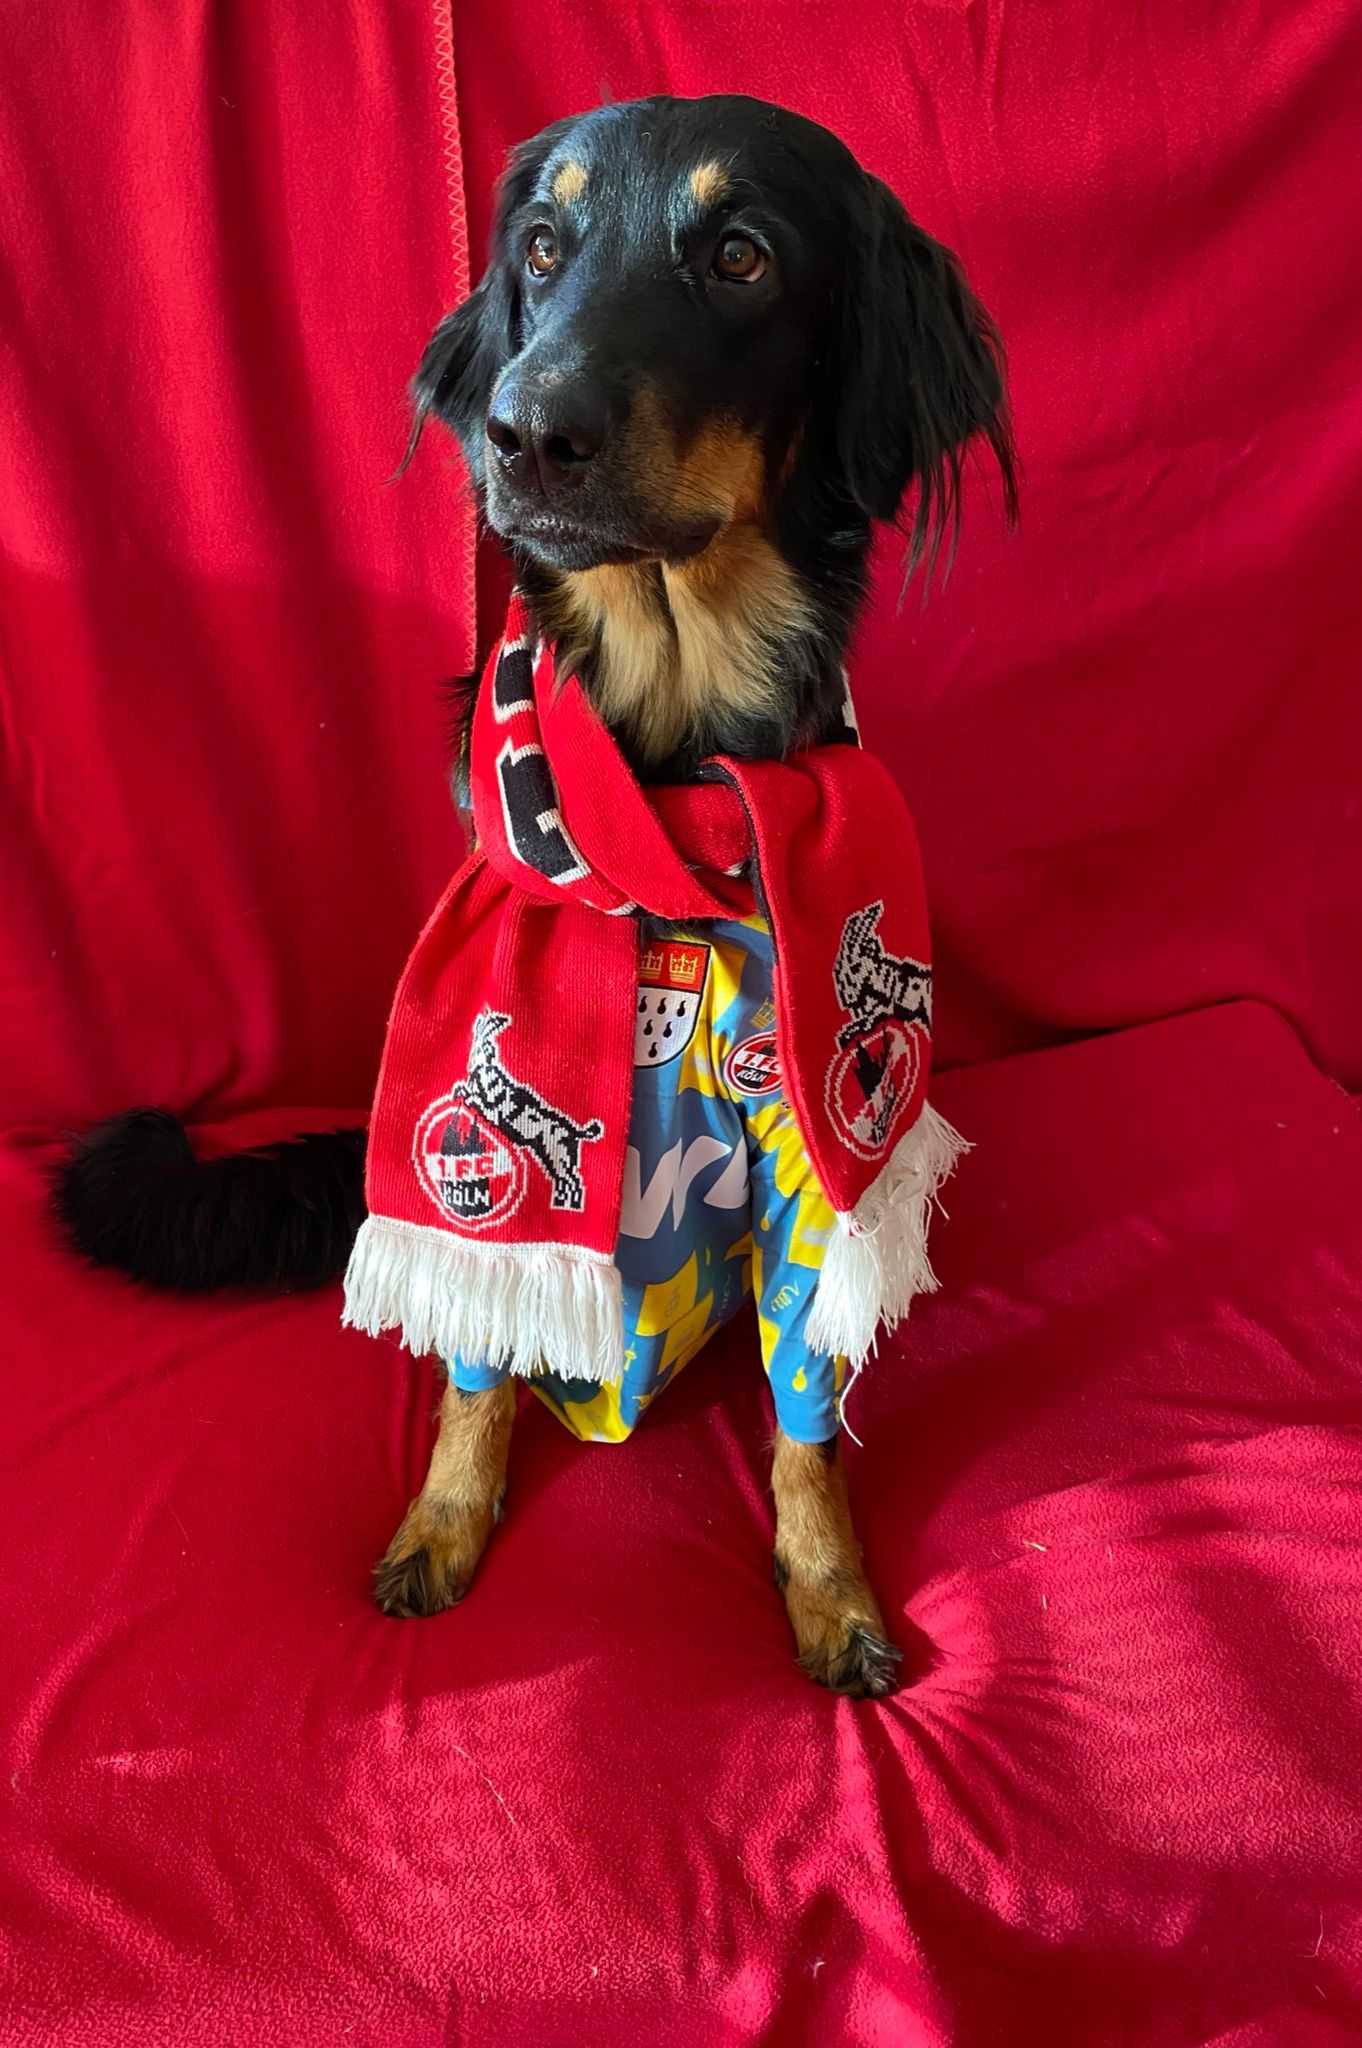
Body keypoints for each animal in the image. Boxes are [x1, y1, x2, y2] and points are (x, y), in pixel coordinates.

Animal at [56, 95, 1015, 1695]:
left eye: (742, 256)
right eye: (545, 248)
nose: (524, 432)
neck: (672, 787)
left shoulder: (811, 1148)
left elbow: (810, 1423)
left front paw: (829, 1590)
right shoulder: (460, 1149)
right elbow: (473, 1358)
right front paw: (444, 1517)